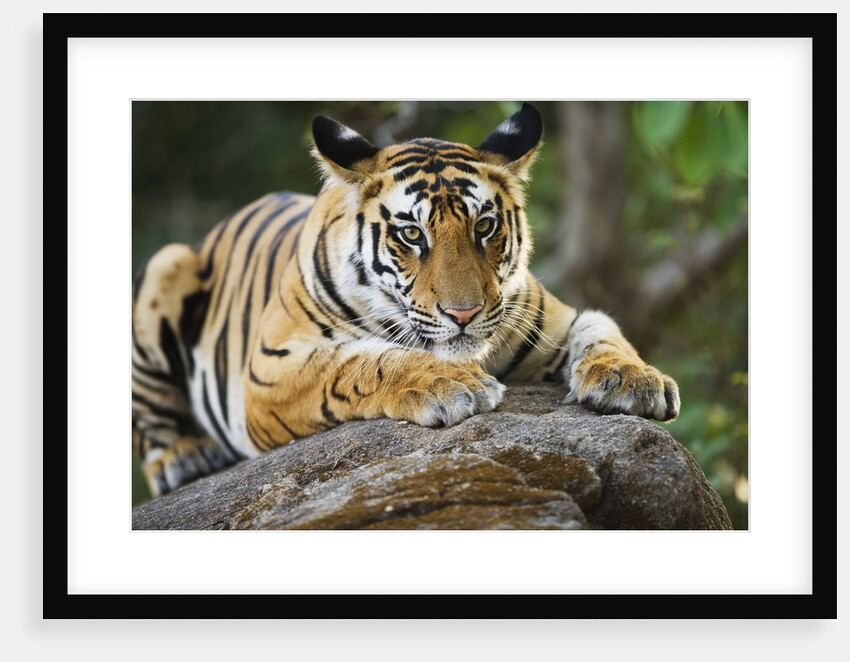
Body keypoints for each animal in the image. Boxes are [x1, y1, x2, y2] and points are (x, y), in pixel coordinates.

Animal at [132, 103, 680, 498]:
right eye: (412, 234)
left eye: (485, 226)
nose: (464, 313)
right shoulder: (270, 369)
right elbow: (361, 361)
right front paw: (450, 385)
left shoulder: (558, 319)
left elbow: (605, 333)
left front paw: (632, 380)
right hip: (165, 265)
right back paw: (185, 458)